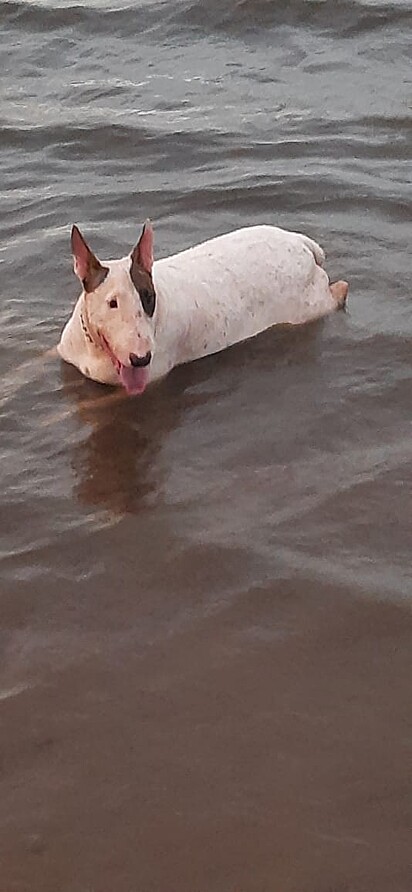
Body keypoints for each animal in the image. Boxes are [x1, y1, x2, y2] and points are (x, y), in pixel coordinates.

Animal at [58, 221, 348, 396]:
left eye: (149, 297)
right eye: (112, 303)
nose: (142, 359)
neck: (94, 348)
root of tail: (301, 243)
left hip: (309, 304)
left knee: (338, 292)